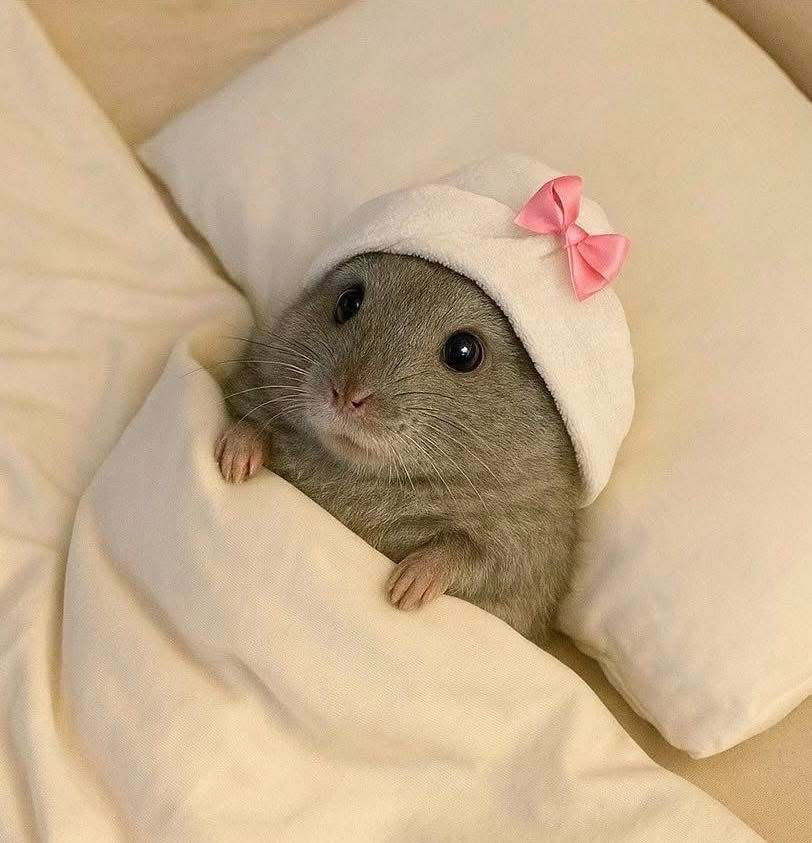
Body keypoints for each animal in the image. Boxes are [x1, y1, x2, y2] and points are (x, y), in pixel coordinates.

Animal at [215, 252, 580, 641]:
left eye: (463, 352)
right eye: (348, 302)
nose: (345, 395)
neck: (364, 475)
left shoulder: (530, 549)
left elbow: (473, 554)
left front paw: (415, 579)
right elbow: (250, 414)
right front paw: (240, 450)